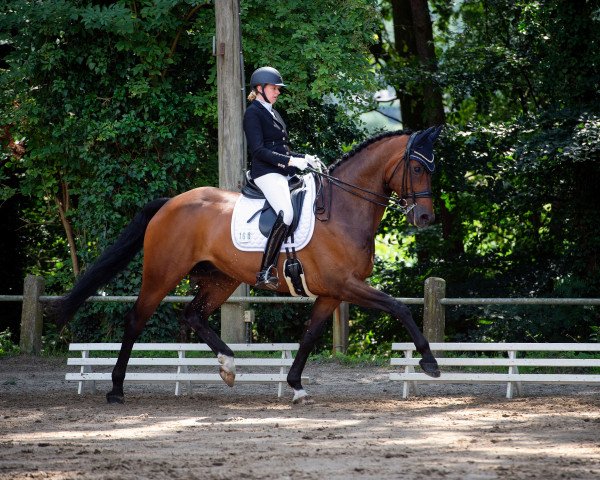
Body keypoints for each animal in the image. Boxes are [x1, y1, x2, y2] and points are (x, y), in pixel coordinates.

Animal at [54, 125, 442, 404]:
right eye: (417, 167)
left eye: (432, 168)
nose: (425, 218)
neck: (342, 210)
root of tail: (170, 203)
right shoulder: (346, 284)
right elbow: (399, 307)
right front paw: (429, 362)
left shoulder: (333, 292)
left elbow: (309, 335)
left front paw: (296, 386)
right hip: (162, 273)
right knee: (136, 318)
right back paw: (116, 389)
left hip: (220, 279)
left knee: (193, 315)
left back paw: (228, 365)